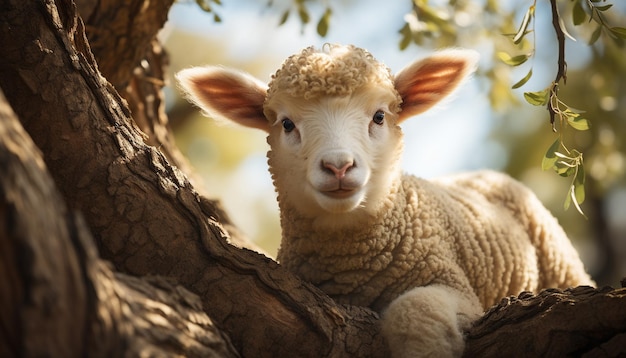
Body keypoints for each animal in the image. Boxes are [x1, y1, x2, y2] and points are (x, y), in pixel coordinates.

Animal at [176, 43, 588, 356]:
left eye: (378, 116)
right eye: (287, 124)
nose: (338, 166)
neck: (355, 261)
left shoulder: (457, 289)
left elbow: (413, 310)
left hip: (560, 261)